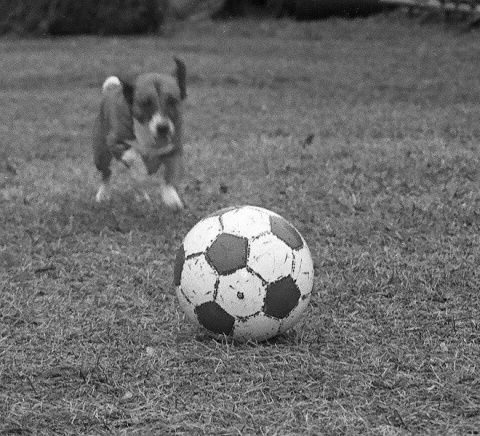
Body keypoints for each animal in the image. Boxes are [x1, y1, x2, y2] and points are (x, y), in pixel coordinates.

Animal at [93, 57, 187, 210]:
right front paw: (141, 170)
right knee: (107, 173)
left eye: (172, 100)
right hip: (101, 155)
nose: (163, 127)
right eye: (146, 103)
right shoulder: (115, 142)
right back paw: (103, 194)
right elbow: (133, 155)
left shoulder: (174, 149)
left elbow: (170, 173)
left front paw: (171, 198)